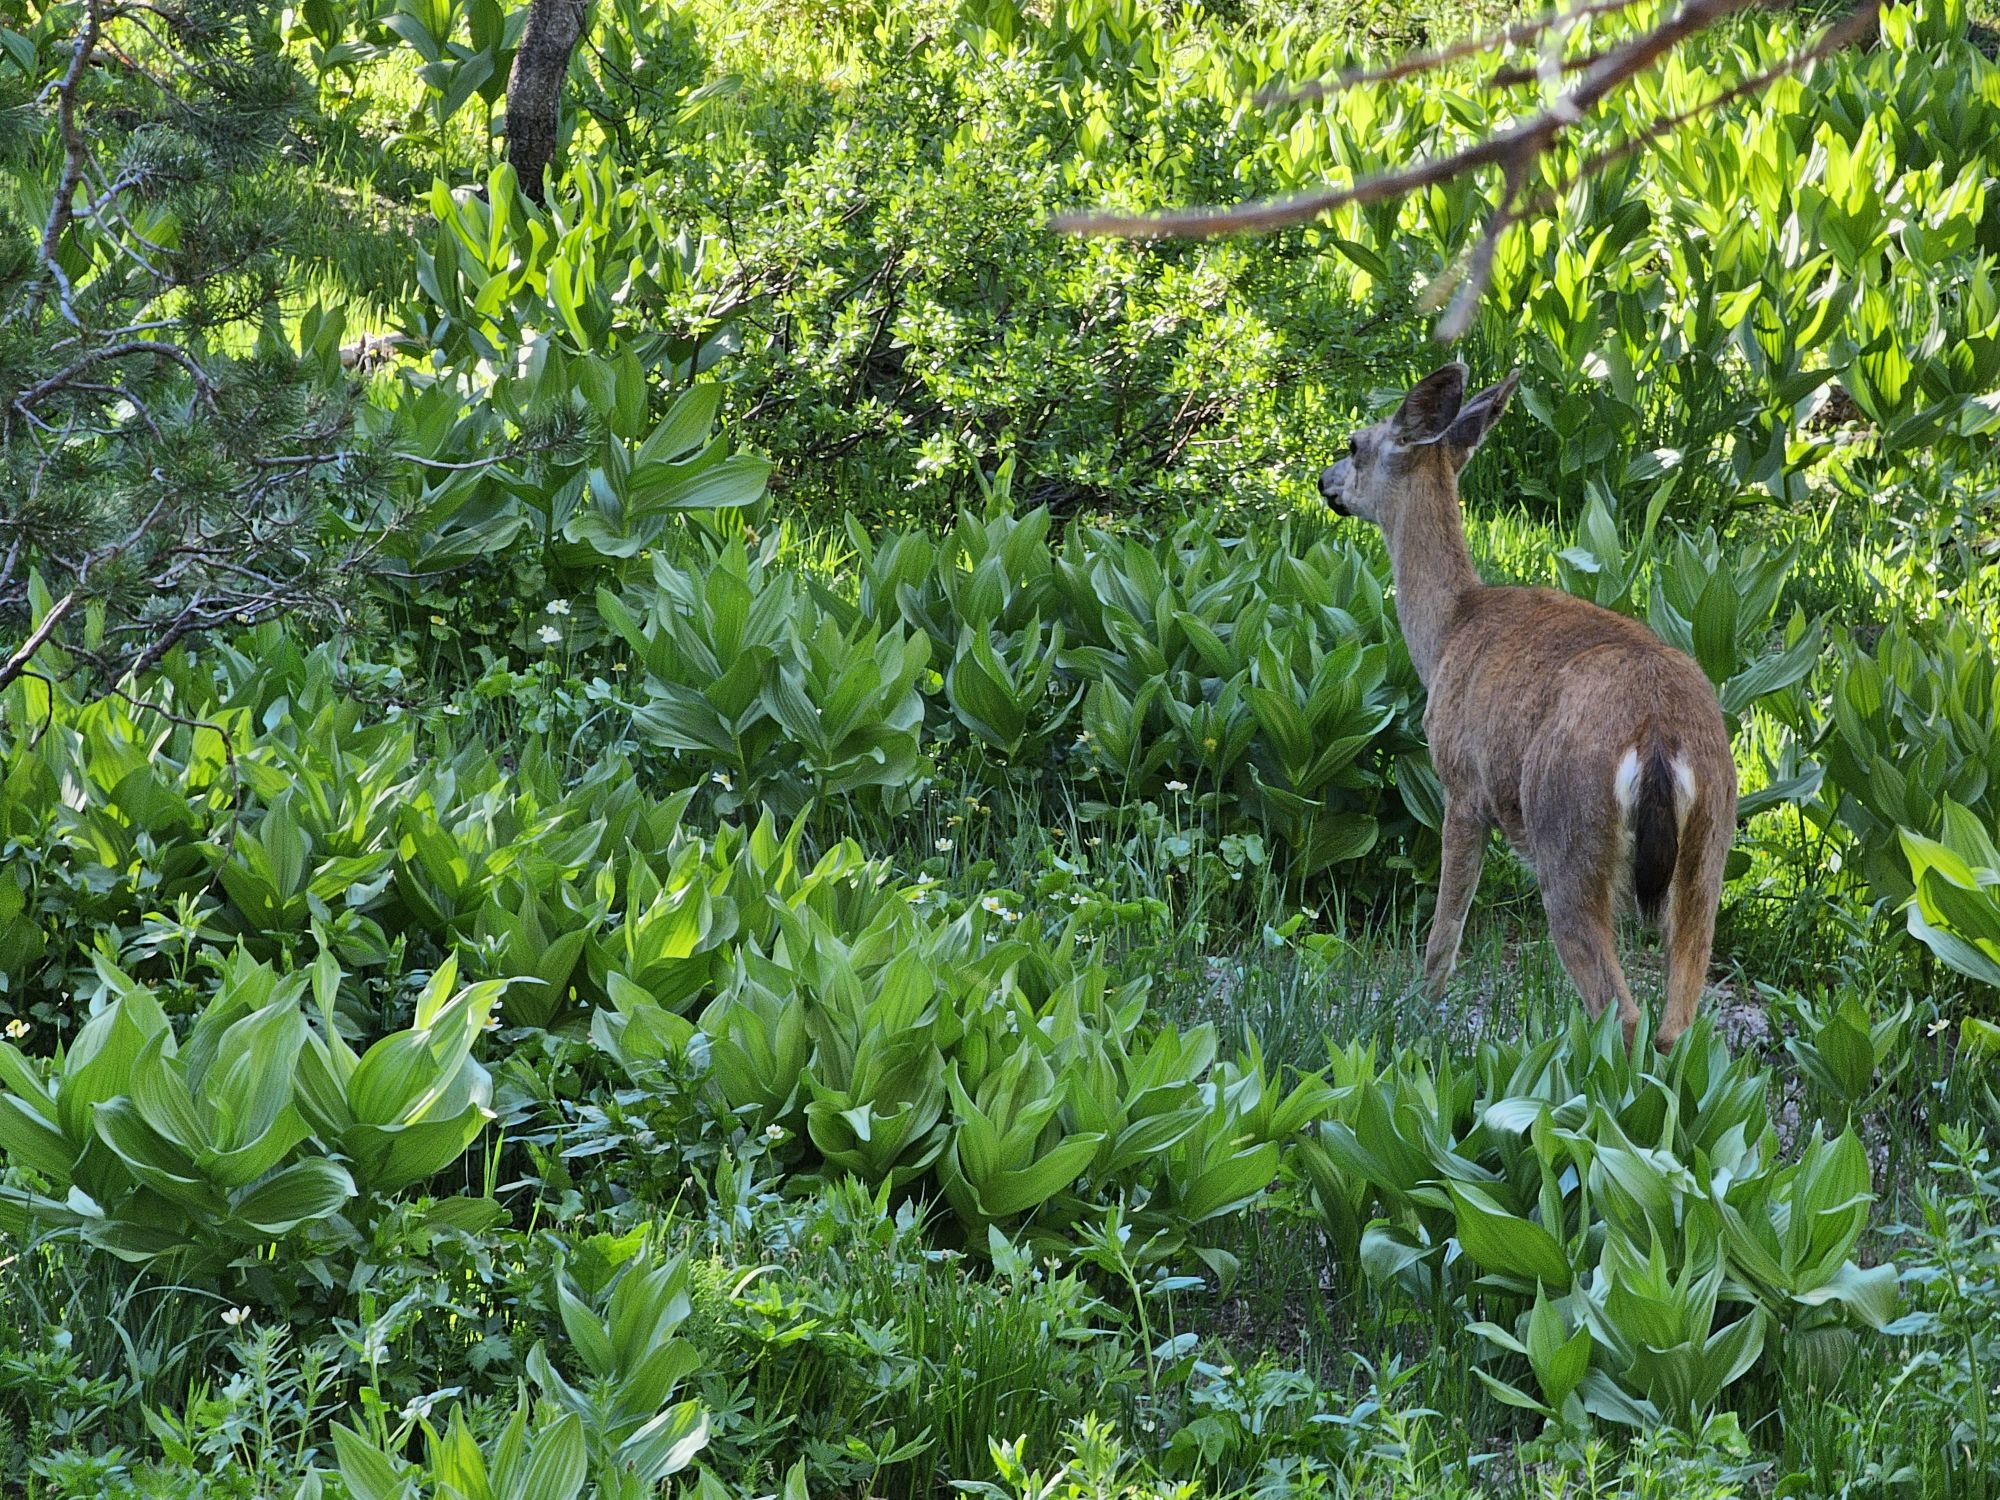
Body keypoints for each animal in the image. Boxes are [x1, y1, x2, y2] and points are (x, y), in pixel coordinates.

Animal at [1319, 362, 1736, 1052]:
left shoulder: (1462, 782)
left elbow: (1447, 925)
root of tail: (1658, 735)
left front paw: (1418, 1010)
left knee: (1620, 1009)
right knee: (1678, 1018)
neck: (1447, 631)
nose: (1324, 481)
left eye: (1354, 444)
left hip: (1566, 830)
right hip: (1710, 847)